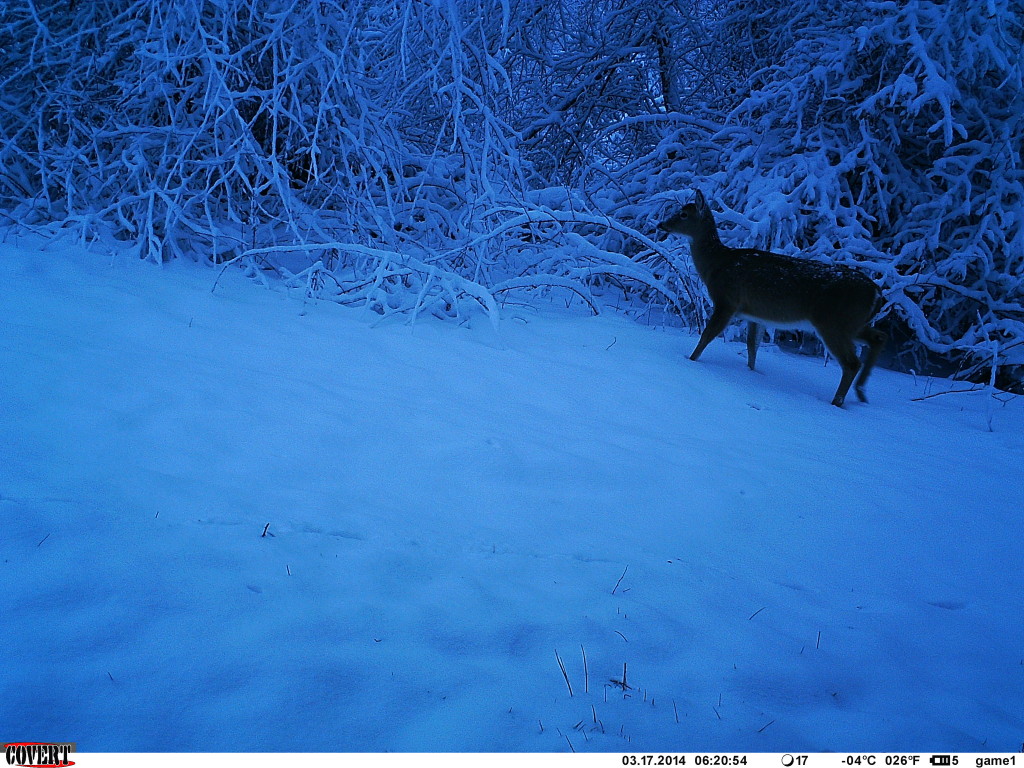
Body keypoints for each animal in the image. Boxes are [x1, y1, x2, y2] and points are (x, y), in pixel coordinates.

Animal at [659, 191, 884, 409]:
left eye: (683, 214)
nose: (661, 224)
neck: (717, 264)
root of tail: (877, 292)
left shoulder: (727, 301)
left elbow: (707, 335)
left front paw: (690, 360)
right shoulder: (754, 315)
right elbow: (752, 347)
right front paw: (752, 372)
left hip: (832, 322)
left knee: (851, 362)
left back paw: (837, 403)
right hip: (851, 324)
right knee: (877, 337)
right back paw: (861, 393)